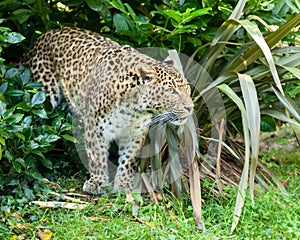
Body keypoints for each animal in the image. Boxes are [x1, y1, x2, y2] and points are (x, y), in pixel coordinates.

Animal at [25, 26, 195, 195]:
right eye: (172, 91)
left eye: (187, 87)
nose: (191, 107)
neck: (133, 110)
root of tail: (45, 34)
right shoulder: (94, 128)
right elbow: (97, 156)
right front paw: (97, 182)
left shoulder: (135, 133)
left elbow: (129, 159)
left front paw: (124, 184)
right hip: (45, 95)